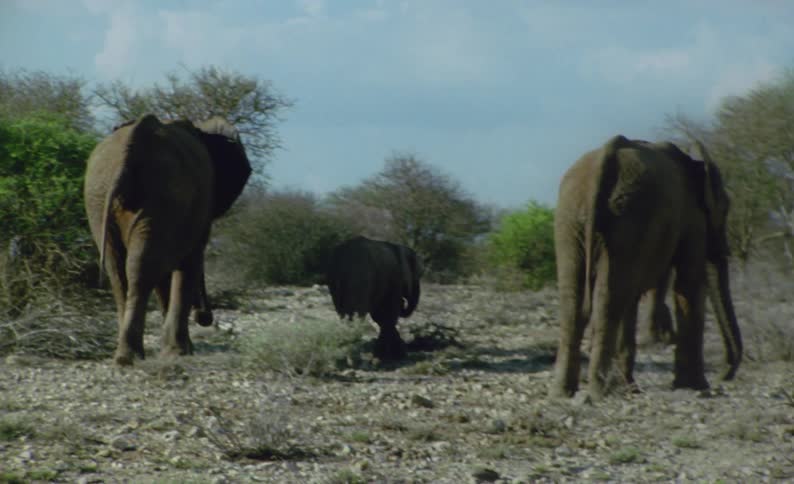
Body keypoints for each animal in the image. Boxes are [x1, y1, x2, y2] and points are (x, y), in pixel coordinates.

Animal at [84, 114, 251, 365]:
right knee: (140, 268)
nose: (205, 317)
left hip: (104, 195)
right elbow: (189, 261)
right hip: (160, 194)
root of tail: (135, 141)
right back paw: (131, 357)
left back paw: (125, 357)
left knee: (121, 269)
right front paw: (181, 352)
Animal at [551, 134, 742, 399]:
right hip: (628, 217)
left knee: (579, 302)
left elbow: (634, 296)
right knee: (609, 300)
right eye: (724, 208)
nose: (724, 375)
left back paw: (565, 392)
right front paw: (695, 386)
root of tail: (605, 158)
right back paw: (599, 391)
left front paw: (631, 386)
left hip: (572, 221)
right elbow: (689, 282)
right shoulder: (692, 217)